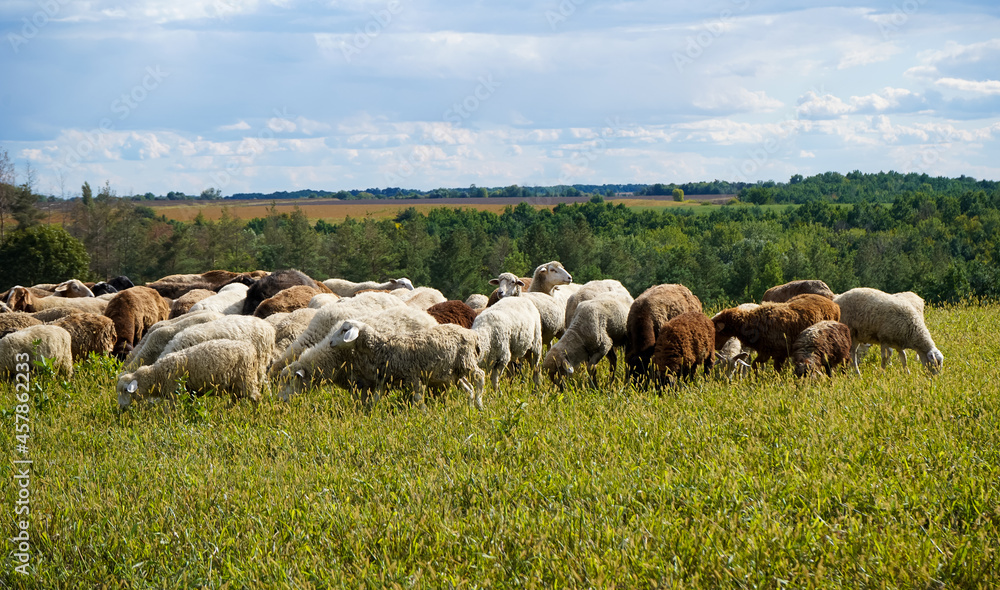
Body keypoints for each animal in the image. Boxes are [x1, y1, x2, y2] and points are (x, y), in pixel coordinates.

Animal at [116, 339, 263, 410]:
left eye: (125, 390)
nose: (121, 408)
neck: (157, 375)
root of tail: (251, 348)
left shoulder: (174, 394)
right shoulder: (189, 392)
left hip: (246, 379)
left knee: (256, 398)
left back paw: (256, 413)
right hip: (236, 384)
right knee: (236, 399)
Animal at [325, 319, 486, 408]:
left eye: (345, 330)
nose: (331, 342)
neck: (382, 347)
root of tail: (472, 334)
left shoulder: (413, 376)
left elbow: (418, 399)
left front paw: (423, 414)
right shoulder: (385, 380)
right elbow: (376, 398)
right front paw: (369, 413)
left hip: (467, 360)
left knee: (480, 376)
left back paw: (479, 404)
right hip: (455, 371)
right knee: (468, 388)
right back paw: (470, 407)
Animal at [711, 294, 841, 372]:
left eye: (716, 330)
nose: (715, 346)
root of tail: (834, 304)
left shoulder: (779, 353)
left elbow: (776, 370)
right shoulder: (765, 352)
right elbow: (754, 365)